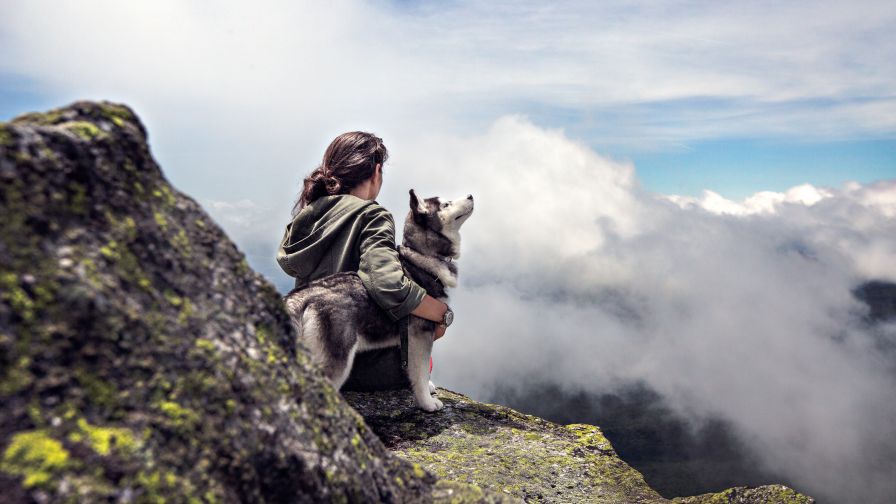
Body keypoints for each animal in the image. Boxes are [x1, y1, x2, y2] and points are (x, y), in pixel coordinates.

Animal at [284, 191, 472, 412]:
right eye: (446, 204)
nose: (471, 195)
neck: (422, 257)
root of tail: (301, 295)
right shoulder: (420, 335)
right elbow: (421, 371)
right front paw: (426, 403)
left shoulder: (408, 342)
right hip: (337, 359)